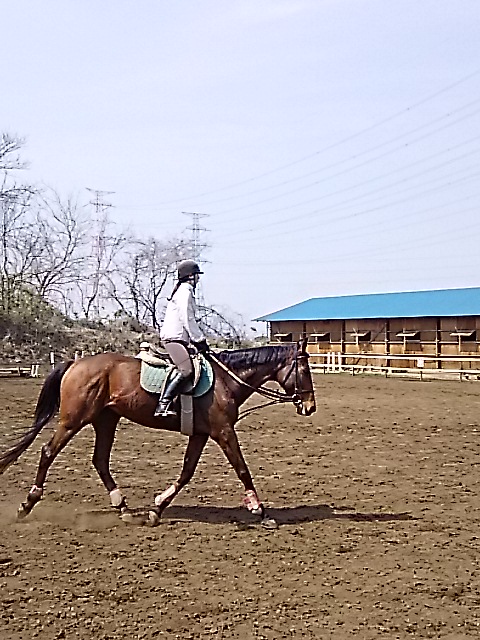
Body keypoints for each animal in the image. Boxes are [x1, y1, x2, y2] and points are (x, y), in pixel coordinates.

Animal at [0, 339, 316, 529]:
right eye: (304, 370)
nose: (310, 406)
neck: (226, 380)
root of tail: (76, 363)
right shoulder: (223, 431)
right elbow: (242, 470)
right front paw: (262, 513)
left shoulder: (201, 434)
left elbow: (186, 472)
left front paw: (157, 509)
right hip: (73, 420)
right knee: (48, 452)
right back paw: (27, 504)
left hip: (106, 420)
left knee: (100, 461)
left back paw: (123, 508)